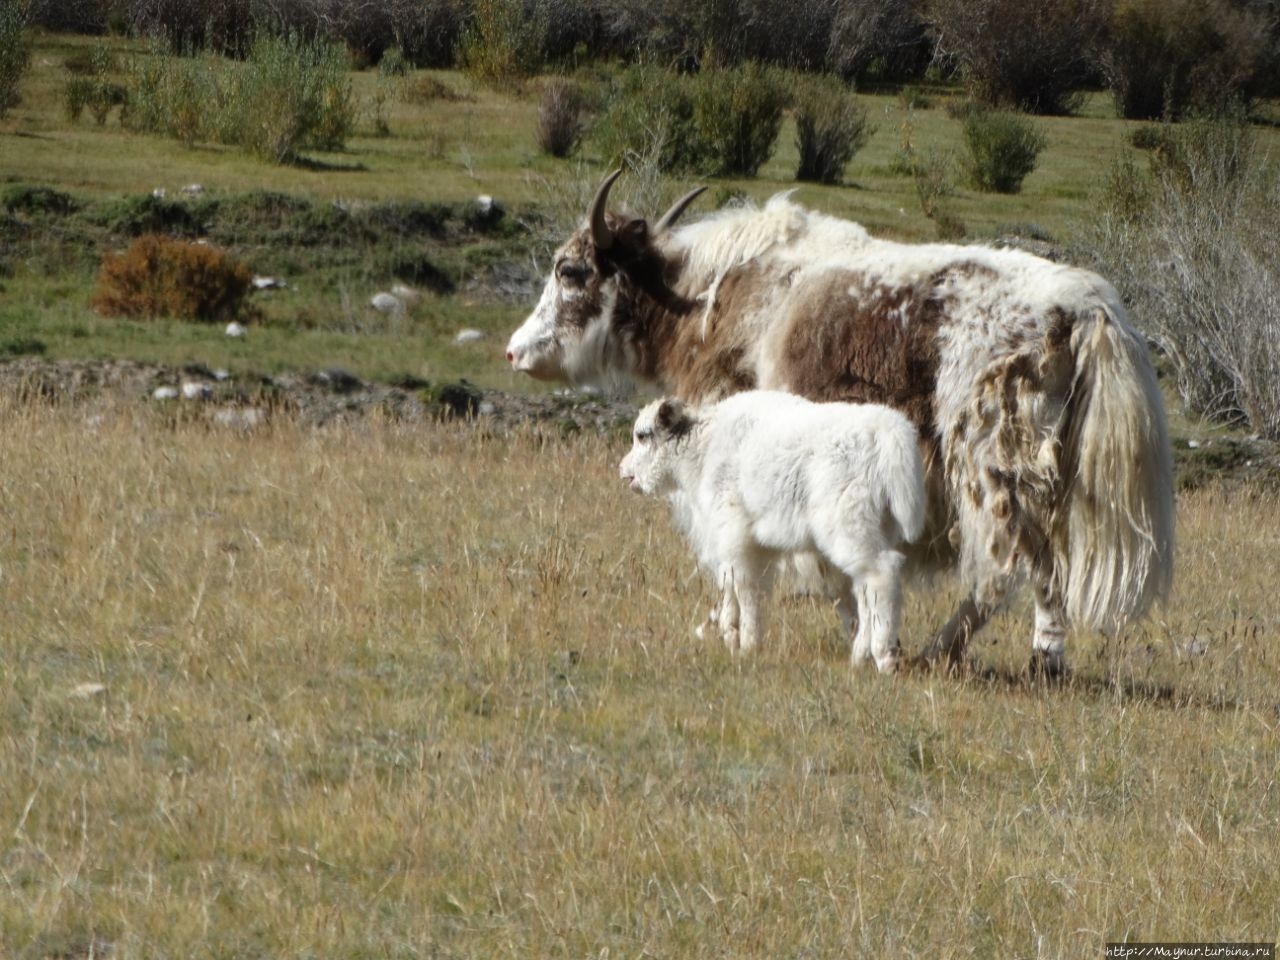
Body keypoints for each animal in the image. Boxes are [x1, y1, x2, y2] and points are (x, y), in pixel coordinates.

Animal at [616, 391, 921, 675]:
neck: (703, 450)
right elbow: (740, 587)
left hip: (849, 526)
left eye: (642, 436)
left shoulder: (735, 534)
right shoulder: (749, 546)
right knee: (865, 588)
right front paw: (734, 635)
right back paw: (860, 657)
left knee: (881, 576)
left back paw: (884, 656)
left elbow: (745, 587)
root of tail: (887, 435)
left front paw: (747, 644)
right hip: (875, 528)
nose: (623, 472)